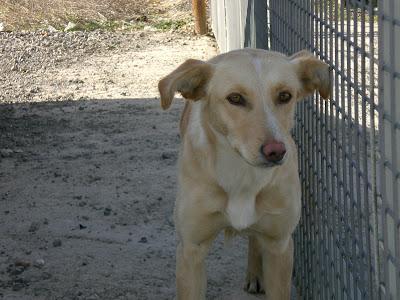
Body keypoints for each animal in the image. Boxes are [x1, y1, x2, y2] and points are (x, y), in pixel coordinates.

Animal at [158, 48, 330, 298]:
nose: (276, 152)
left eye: (285, 96)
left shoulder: (280, 246)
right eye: (235, 98)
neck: (242, 177)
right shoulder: (191, 251)